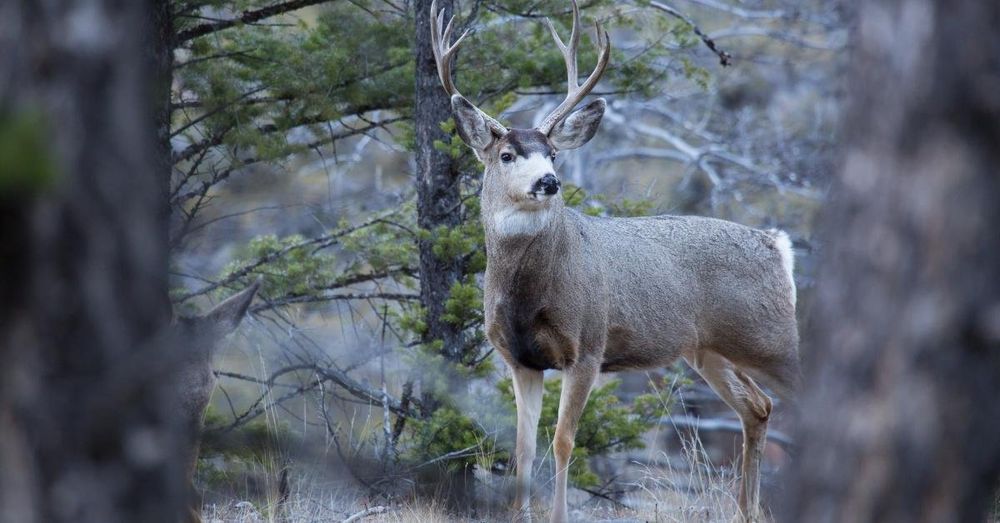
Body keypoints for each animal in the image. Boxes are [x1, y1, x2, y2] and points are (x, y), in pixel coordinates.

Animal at [429, 1, 800, 521]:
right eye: (506, 154)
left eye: (553, 153)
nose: (548, 181)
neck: (528, 295)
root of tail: (777, 245)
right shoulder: (519, 358)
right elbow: (522, 446)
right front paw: (519, 512)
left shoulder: (587, 345)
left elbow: (563, 441)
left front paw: (559, 515)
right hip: (708, 349)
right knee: (758, 406)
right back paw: (746, 510)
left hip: (772, 337)